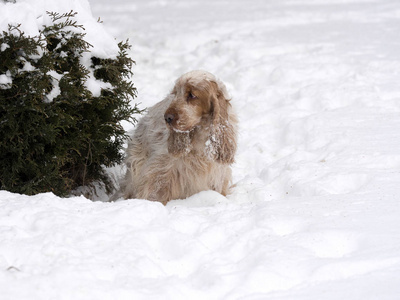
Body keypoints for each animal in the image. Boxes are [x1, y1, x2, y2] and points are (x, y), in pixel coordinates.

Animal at [117, 70, 239, 205]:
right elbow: (156, 191)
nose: (167, 117)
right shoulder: (162, 170)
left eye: (191, 95)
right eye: (175, 94)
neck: (200, 133)